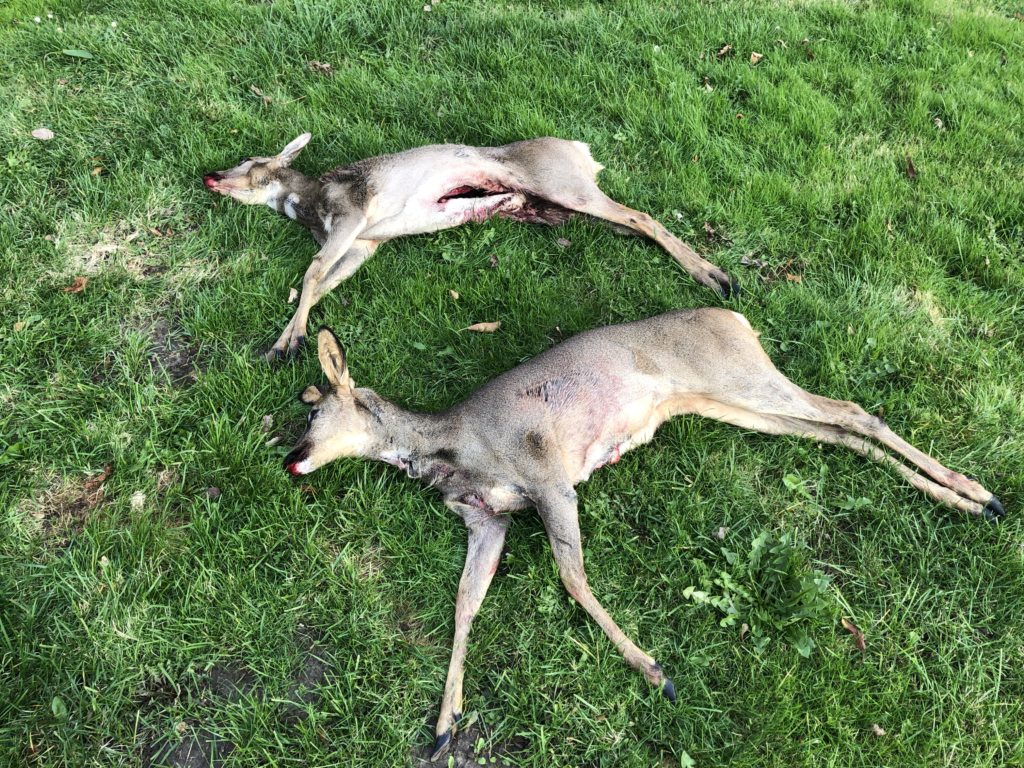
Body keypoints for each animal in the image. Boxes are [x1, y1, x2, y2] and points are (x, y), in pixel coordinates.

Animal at [203, 134, 737, 361]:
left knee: (642, 216)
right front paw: (286, 339)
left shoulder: (351, 217)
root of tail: (581, 150)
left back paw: (716, 277)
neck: (310, 204)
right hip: (557, 207)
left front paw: (285, 343)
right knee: (631, 223)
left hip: (565, 188)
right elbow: (323, 282)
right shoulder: (364, 243)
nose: (210, 175)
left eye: (250, 161)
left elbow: (312, 271)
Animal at [282, 311, 1002, 761]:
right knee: (836, 432)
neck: (454, 450)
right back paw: (968, 497)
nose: (292, 458)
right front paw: (443, 723)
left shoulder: (549, 476)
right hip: (727, 403)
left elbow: (572, 577)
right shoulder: (488, 519)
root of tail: (736, 318)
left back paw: (978, 495)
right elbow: (466, 602)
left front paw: (655, 671)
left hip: (740, 378)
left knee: (853, 411)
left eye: (313, 412)